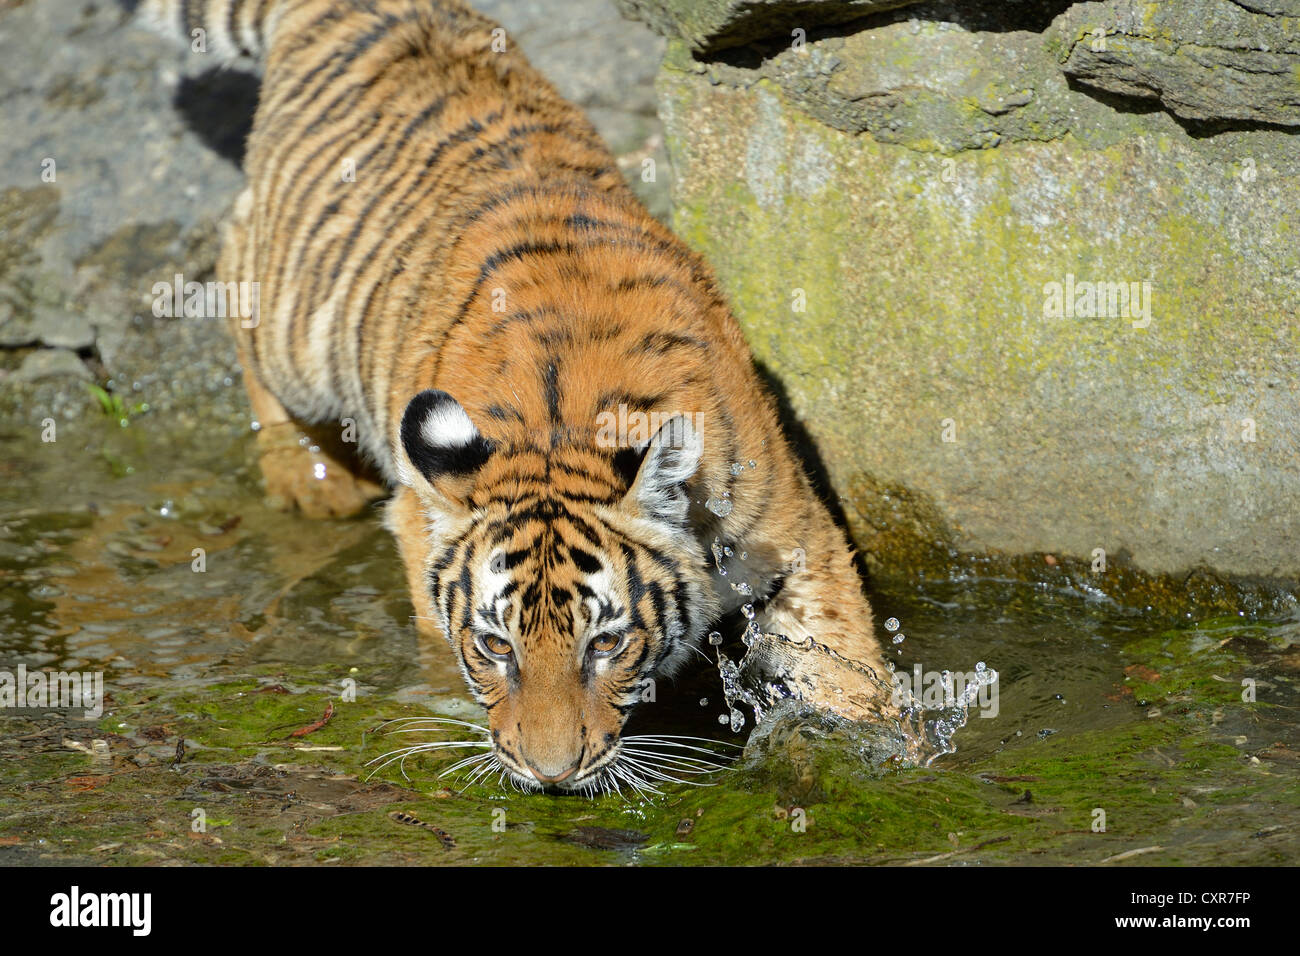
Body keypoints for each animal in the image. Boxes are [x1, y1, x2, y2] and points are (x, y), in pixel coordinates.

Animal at [142, 0, 894, 790]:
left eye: (605, 644)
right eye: (497, 646)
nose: (551, 774)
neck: (564, 429)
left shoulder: (795, 535)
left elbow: (843, 659)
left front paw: (877, 750)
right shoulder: (417, 521)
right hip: (297, 329)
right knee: (233, 259)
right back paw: (310, 479)